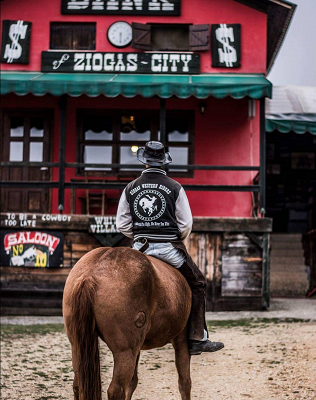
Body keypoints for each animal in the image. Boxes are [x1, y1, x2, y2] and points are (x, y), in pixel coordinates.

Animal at [63, 247, 193, 400]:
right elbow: (185, 382)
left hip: (77, 345)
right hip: (125, 351)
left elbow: (133, 382)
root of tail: (91, 273)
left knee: (78, 385)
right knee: (116, 390)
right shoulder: (181, 340)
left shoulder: (138, 347)